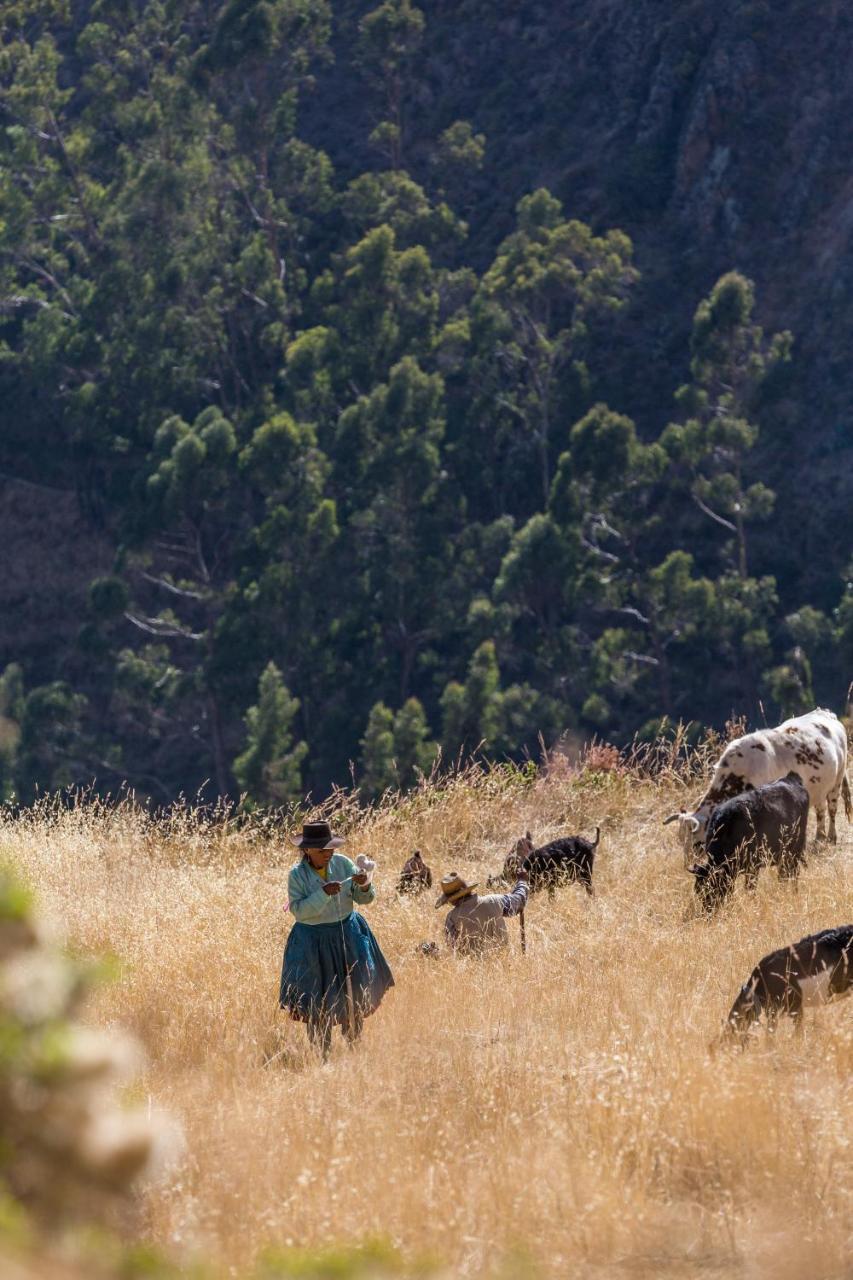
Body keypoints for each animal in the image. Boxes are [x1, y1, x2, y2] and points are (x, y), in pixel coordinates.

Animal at [660, 706, 845, 865]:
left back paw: (831, 838)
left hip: (837, 782)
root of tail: (825, 713)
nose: (687, 864)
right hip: (819, 789)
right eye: (681, 839)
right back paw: (819, 840)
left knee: (832, 810)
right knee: (820, 812)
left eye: (695, 841)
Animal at [686, 768, 809, 911]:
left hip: (795, 851)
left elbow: (750, 888)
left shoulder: (753, 867)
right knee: (784, 873)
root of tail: (791, 778)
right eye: (698, 891)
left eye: (713, 888)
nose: (708, 911)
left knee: (793, 874)